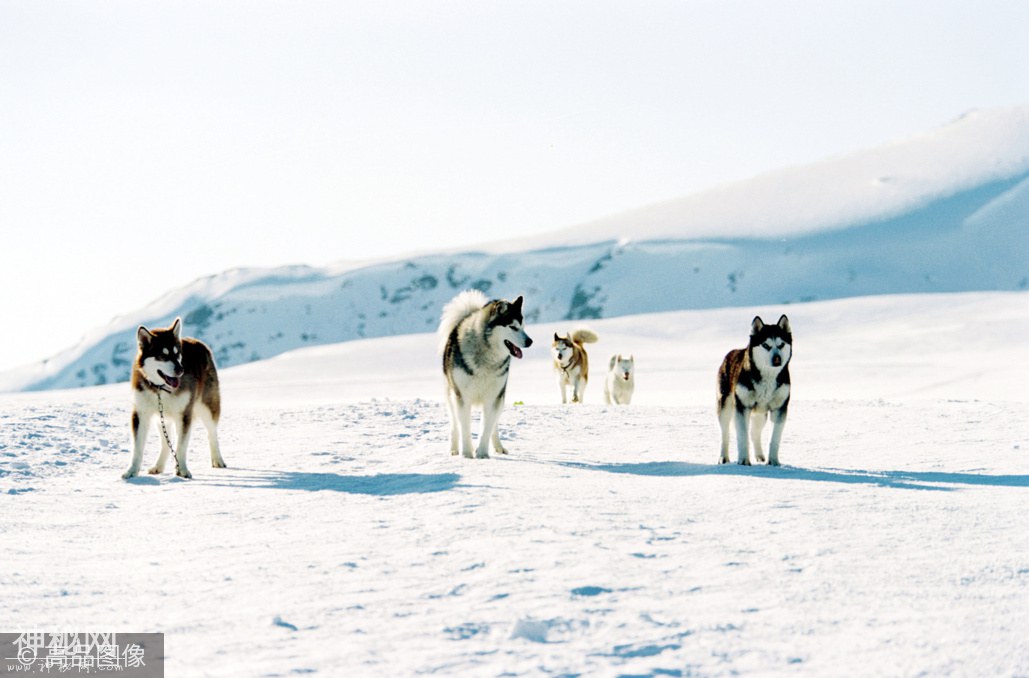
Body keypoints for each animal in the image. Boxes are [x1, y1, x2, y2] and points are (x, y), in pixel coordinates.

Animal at [121, 318, 224, 483]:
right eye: (163, 356)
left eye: (177, 354)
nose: (180, 370)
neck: (160, 389)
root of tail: (198, 342)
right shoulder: (141, 413)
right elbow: (137, 448)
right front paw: (131, 471)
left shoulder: (184, 414)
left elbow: (181, 446)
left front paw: (182, 470)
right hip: (161, 417)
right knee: (165, 441)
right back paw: (158, 466)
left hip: (207, 407)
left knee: (212, 432)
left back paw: (218, 459)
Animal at [436, 290, 530, 458]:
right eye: (513, 327)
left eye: (522, 326)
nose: (530, 341)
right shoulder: (462, 398)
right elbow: (465, 428)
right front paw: (467, 454)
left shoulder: (493, 398)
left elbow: (486, 427)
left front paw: (482, 454)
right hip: (451, 396)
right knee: (455, 425)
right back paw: (454, 449)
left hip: (500, 399)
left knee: (494, 425)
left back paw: (498, 447)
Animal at [716, 314, 794, 465]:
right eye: (766, 345)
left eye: (781, 345)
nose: (777, 359)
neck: (767, 378)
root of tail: (730, 354)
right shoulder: (742, 407)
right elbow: (742, 436)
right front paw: (743, 461)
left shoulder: (779, 408)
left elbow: (774, 439)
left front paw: (773, 462)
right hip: (725, 407)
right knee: (725, 434)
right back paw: (723, 457)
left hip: (760, 414)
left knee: (754, 433)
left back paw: (759, 456)